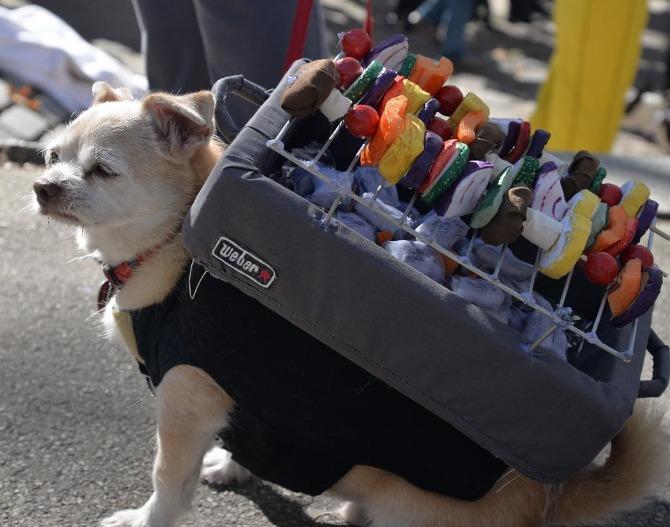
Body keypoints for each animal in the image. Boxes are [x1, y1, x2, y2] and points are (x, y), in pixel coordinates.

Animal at [36, 79, 670, 527]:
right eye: (50, 157)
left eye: (103, 171)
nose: (43, 187)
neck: (173, 243)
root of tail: (549, 501)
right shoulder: (243, 398)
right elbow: (245, 435)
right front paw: (233, 465)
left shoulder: (184, 399)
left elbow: (167, 481)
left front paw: (144, 519)